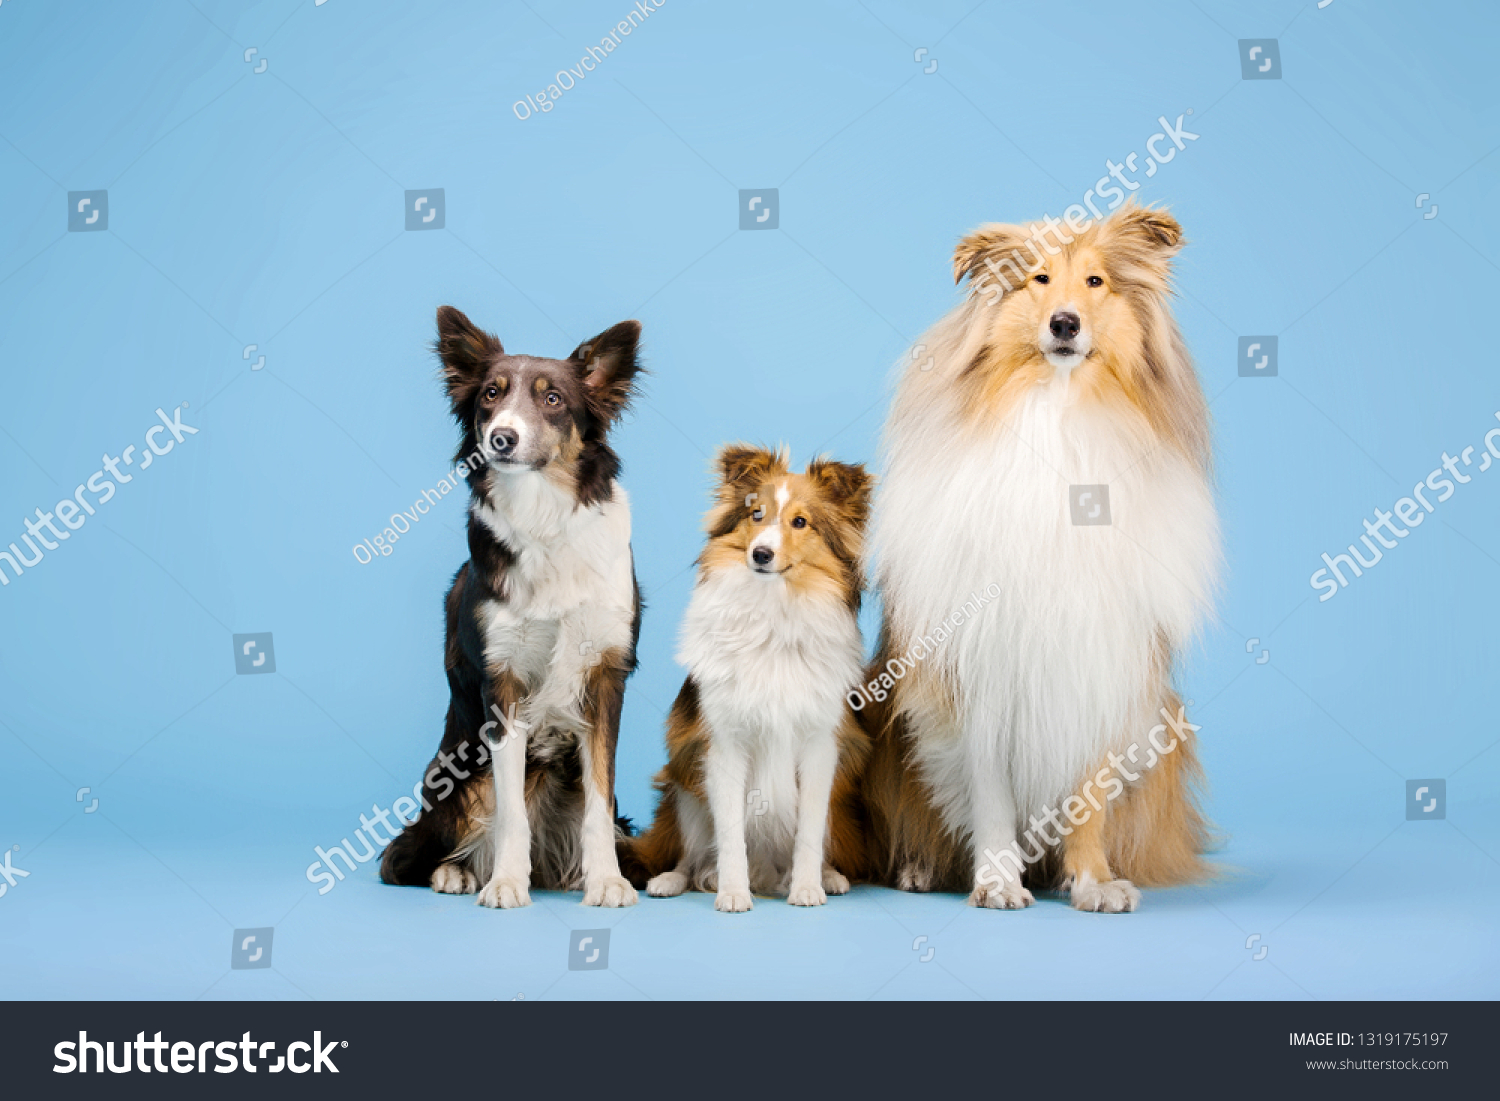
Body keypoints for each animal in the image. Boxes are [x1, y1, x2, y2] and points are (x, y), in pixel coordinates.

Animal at [378, 306, 642, 912]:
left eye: (554, 399)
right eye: (491, 395)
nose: (502, 437)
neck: (543, 513)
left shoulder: (605, 676)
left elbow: (599, 800)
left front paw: (606, 880)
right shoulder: (503, 684)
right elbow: (511, 814)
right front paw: (504, 882)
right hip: (457, 772)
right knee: (405, 855)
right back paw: (458, 873)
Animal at [618, 450, 870, 912]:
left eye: (801, 522)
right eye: (756, 514)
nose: (761, 554)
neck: (774, 614)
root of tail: (767, 870)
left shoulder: (820, 747)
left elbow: (808, 831)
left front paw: (807, 888)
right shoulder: (724, 745)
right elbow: (731, 833)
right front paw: (733, 892)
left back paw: (827, 877)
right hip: (682, 788)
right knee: (691, 856)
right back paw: (672, 880)